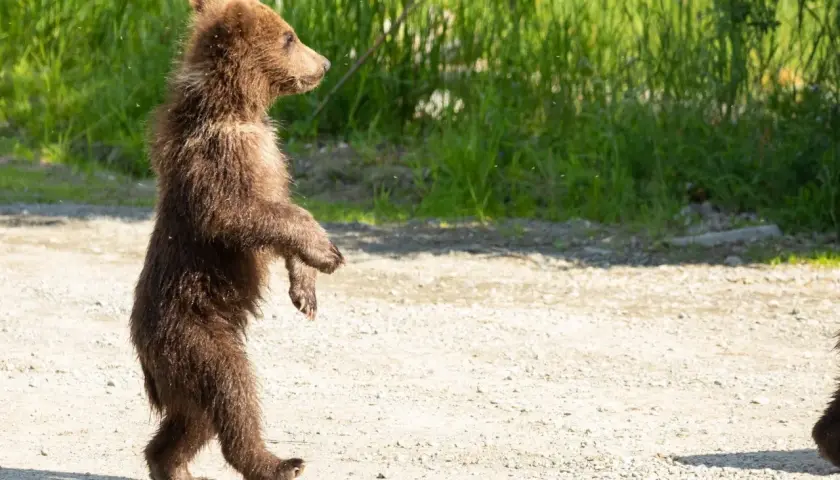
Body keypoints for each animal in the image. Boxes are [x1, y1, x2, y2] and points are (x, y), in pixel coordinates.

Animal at [128, 0, 343, 479]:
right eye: (290, 37)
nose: (325, 63)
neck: (233, 108)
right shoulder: (216, 160)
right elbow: (241, 215)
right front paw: (327, 252)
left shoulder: (270, 160)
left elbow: (278, 212)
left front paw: (305, 292)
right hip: (194, 335)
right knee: (232, 390)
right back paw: (280, 463)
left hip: (187, 357)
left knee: (192, 419)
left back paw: (173, 464)